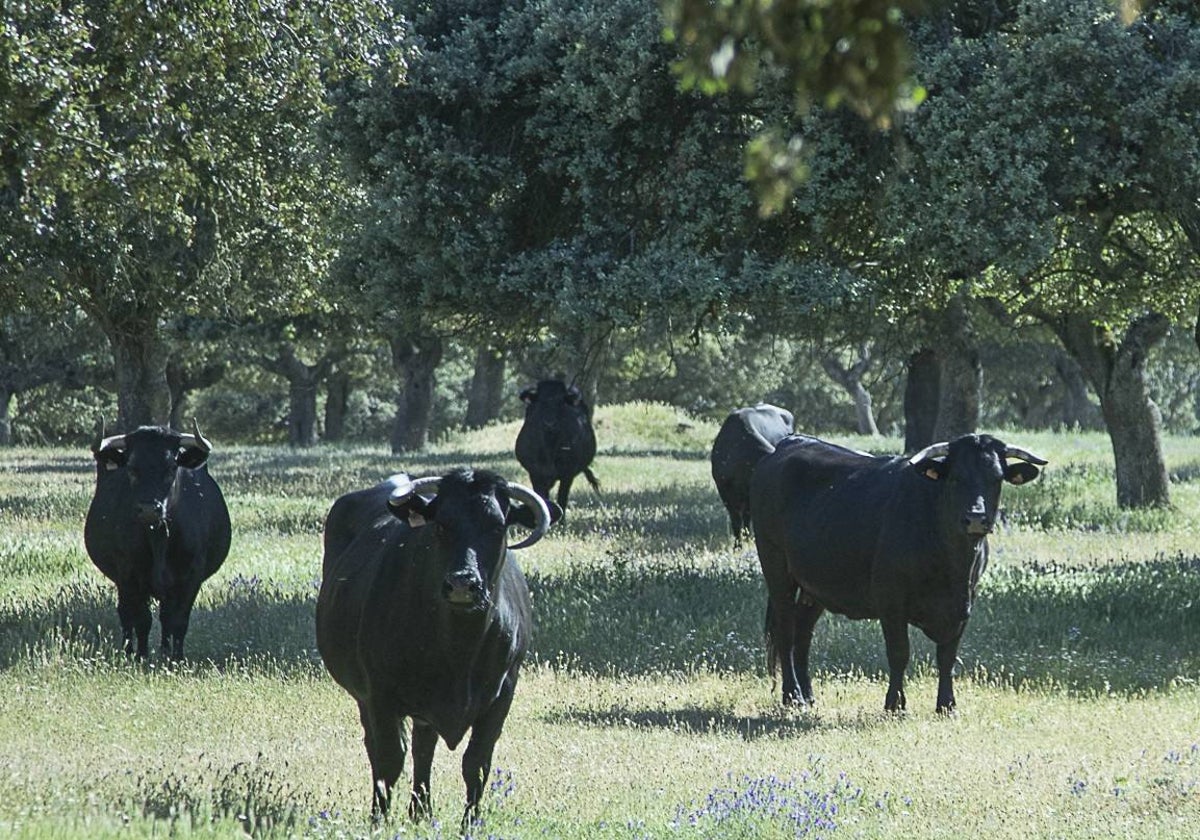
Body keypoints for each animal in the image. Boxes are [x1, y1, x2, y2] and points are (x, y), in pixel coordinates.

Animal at [316, 470, 554, 830]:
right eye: (441, 525)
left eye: (498, 527)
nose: (462, 584)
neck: (458, 650)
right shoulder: (380, 695)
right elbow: (389, 759)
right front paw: (379, 821)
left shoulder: (503, 694)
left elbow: (477, 763)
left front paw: (471, 824)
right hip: (366, 698)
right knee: (382, 750)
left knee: (423, 748)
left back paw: (421, 811)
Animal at [511, 379, 600, 511]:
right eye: (540, 402)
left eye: (561, 403)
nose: (549, 424)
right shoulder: (535, 474)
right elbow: (541, 499)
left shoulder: (567, 475)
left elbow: (562, 499)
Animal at [748, 432, 1041, 715]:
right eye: (956, 477)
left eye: (996, 478)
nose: (977, 518)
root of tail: (790, 442)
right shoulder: (891, 601)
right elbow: (900, 653)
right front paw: (895, 704)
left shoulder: (964, 604)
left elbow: (947, 657)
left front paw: (947, 705)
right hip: (776, 568)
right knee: (785, 631)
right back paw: (792, 695)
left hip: (815, 585)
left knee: (803, 632)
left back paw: (807, 695)